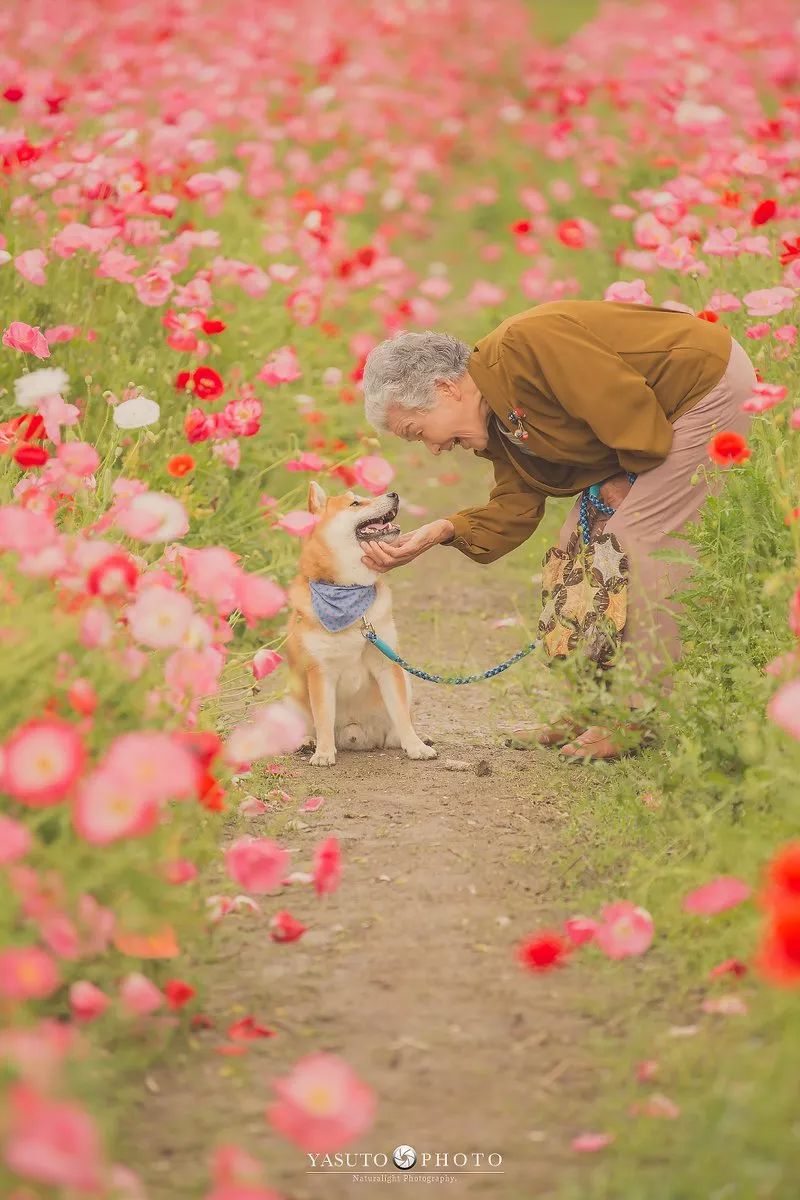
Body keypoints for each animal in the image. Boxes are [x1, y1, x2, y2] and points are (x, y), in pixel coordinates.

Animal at [284, 480, 438, 768]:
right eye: (355, 503)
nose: (394, 494)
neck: (349, 594)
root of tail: (358, 737)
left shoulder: (387, 665)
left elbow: (402, 714)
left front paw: (416, 746)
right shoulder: (320, 671)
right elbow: (323, 718)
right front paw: (324, 752)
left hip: (405, 680)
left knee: (397, 726)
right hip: (292, 696)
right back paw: (306, 742)